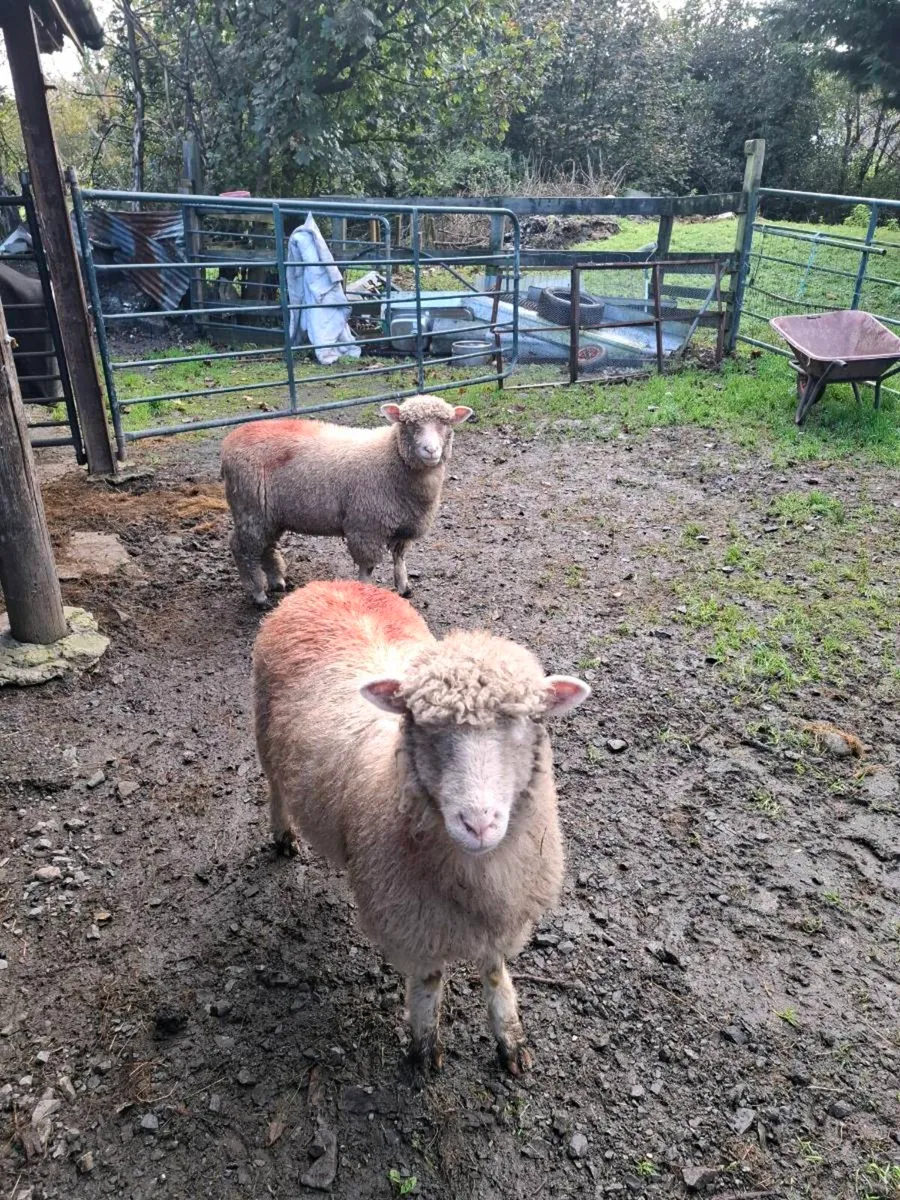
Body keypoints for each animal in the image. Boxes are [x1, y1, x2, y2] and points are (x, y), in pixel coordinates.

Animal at [220, 395, 472, 605]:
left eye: (447, 424)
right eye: (409, 424)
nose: (431, 450)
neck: (391, 456)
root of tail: (230, 441)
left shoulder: (404, 525)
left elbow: (399, 557)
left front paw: (404, 587)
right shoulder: (366, 526)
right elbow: (367, 567)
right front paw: (365, 592)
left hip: (271, 516)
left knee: (266, 546)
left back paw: (276, 582)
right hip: (250, 508)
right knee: (242, 547)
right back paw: (258, 594)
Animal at [252, 579, 590, 1074]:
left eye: (527, 722)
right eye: (424, 725)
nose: (478, 823)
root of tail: (327, 584)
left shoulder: (503, 910)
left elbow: (494, 972)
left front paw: (509, 1036)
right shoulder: (414, 922)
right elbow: (429, 983)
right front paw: (424, 1049)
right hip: (263, 730)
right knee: (276, 789)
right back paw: (283, 836)